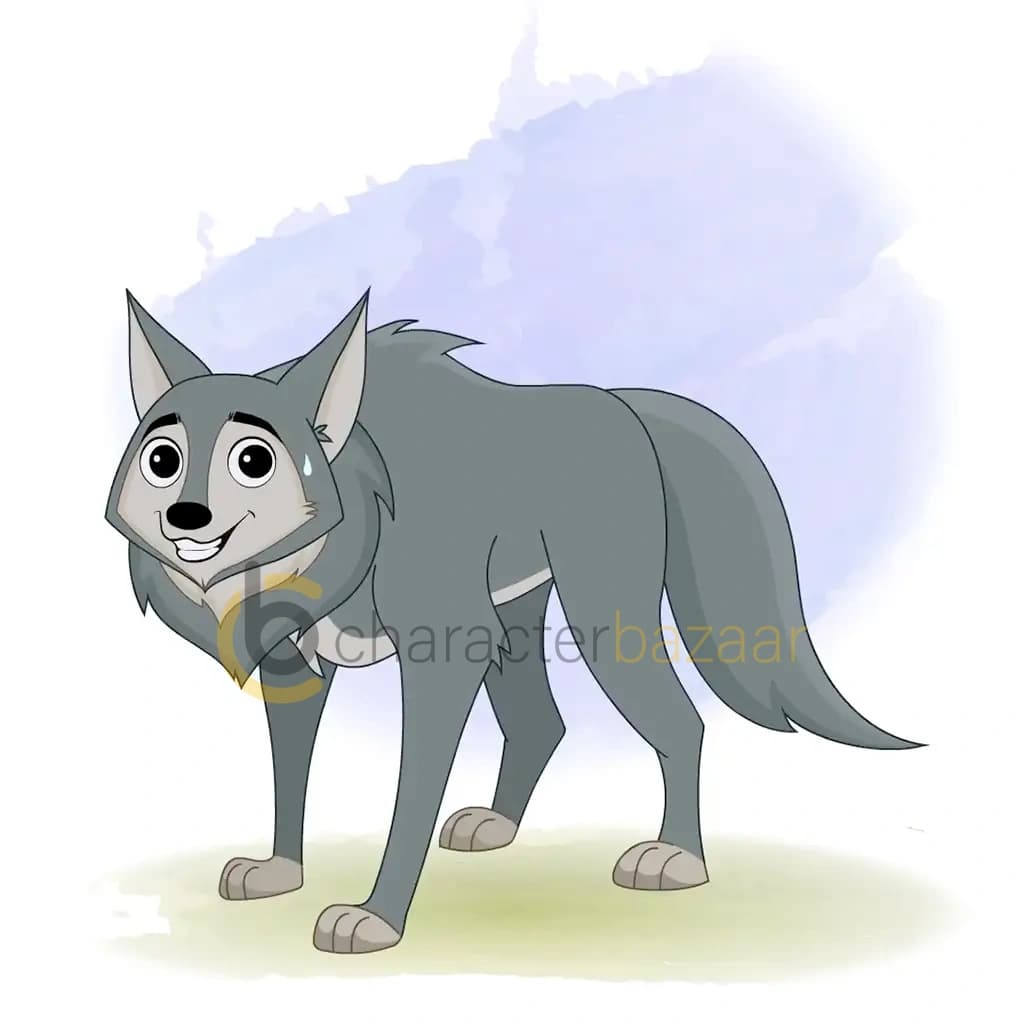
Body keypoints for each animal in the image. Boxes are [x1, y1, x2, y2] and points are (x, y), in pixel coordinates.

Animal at [106, 289, 919, 954]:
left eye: (253, 459)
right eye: (162, 458)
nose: (186, 516)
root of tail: (624, 401)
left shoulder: (438, 659)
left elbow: (410, 791)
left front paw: (375, 919)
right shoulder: (299, 667)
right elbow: (290, 775)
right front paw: (279, 871)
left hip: (599, 618)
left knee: (680, 724)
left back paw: (677, 858)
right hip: (511, 619)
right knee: (541, 724)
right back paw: (497, 825)